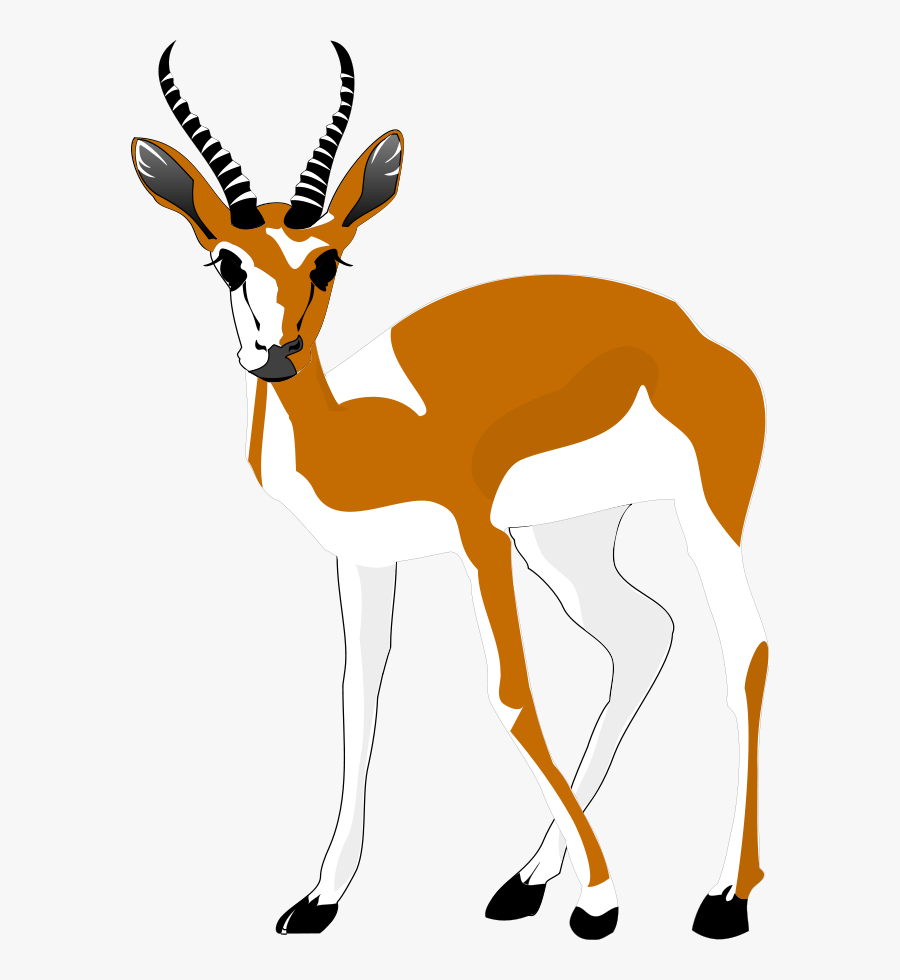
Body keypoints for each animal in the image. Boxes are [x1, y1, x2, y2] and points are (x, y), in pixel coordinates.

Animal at [132, 41, 769, 941]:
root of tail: (700, 339)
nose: (276, 354)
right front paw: (318, 900)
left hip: (706, 509)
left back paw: (722, 898)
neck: (361, 435)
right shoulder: (363, 560)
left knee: (744, 647)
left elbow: (512, 697)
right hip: (566, 540)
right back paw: (529, 881)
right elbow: (357, 702)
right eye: (226, 260)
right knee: (645, 634)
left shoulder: (477, 536)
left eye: (328, 259)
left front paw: (604, 900)